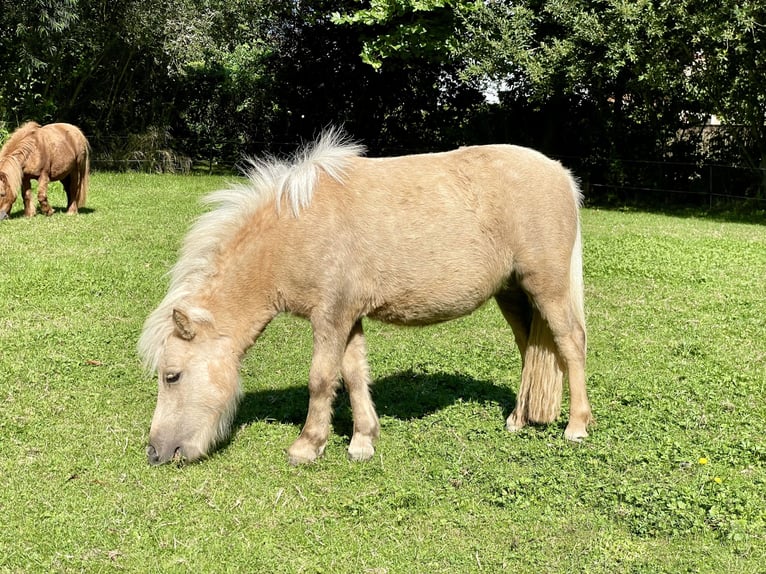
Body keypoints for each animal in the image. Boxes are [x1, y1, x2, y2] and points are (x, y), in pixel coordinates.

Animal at [140, 132, 592, 468]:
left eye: (172, 376)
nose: (155, 452)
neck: (298, 229)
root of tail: (561, 173)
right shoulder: (348, 317)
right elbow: (354, 374)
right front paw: (363, 440)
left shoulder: (330, 318)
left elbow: (322, 379)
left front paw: (307, 445)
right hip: (513, 293)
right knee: (529, 349)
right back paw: (517, 420)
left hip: (547, 287)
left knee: (571, 343)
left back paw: (577, 426)